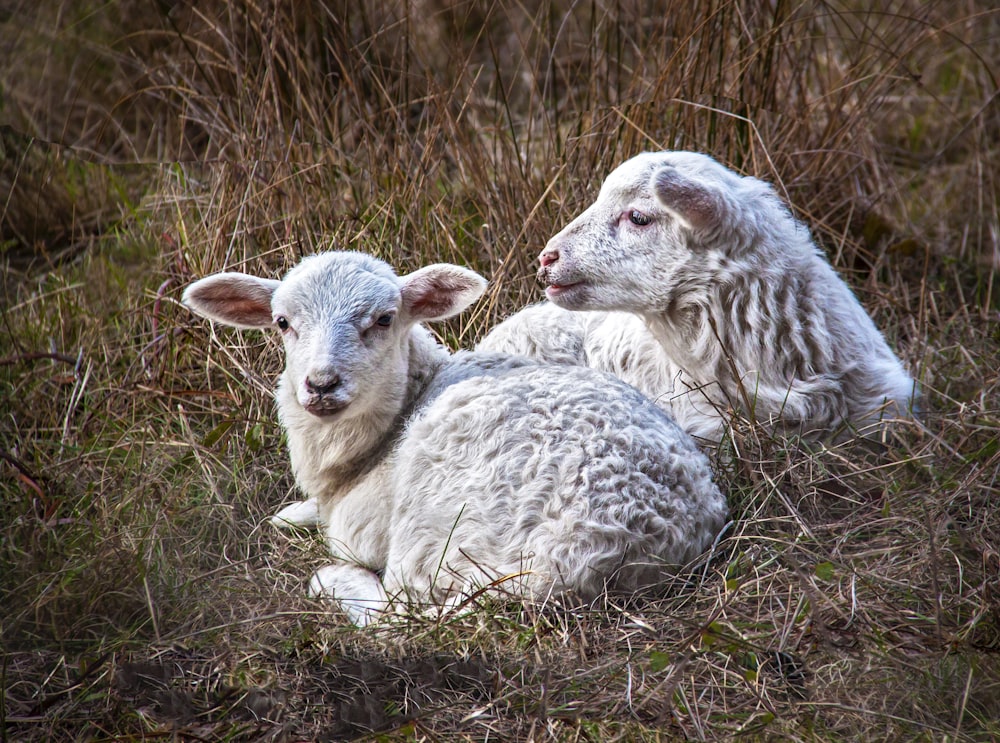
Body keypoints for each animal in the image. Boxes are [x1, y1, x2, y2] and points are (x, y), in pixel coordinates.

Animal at [182, 253, 728, 624]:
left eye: (384, 319)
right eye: (282, 323)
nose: (320, 385)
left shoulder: (362, 525)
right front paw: (292, 512)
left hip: (437, 516)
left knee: (398, 608)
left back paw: (335, 581)